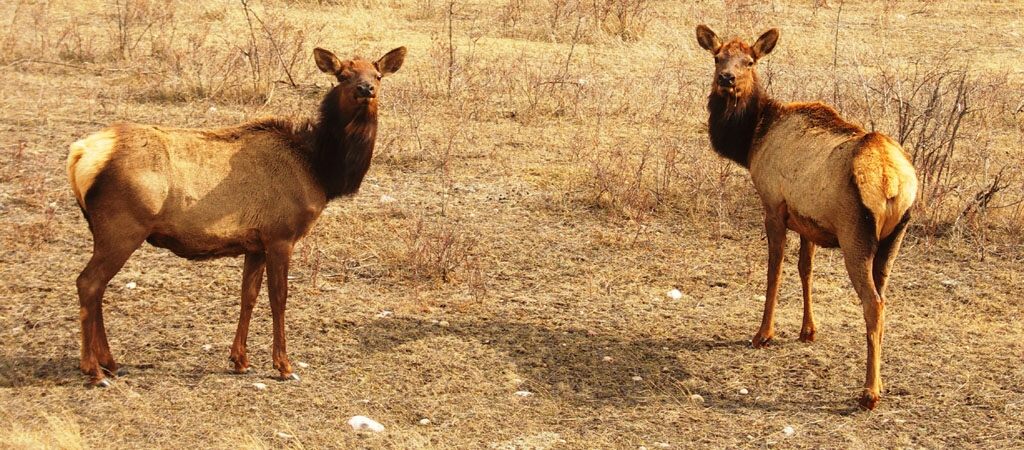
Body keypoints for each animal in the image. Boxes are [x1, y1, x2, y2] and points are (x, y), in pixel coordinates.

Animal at [65, 45, 403, 387]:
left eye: (377, 75)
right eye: (343, 75)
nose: (366, 89)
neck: (321, 170)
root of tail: (79, 153)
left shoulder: (255, 243)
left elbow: (248, 296)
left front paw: (240, 360)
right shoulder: (281, 235)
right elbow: (279, 298)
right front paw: (284, 366)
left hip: (107, 229)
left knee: (97, 287)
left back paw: (110, 363)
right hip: (122, 227)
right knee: (88, 283)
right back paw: (94, 370)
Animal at [696, 25, 921, 412]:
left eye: (749, 61)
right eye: (718, 57)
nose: (727, 78)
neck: (751, 140)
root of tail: (893, 181)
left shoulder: (773, 203)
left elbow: (775, 270)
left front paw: (763, 334)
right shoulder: (808, 220)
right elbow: (806, 269)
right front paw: (807, 330)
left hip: (855, 235)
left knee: (873, 303)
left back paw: (869, 392)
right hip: (895, 238)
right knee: (884, 297)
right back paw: (879, 383)